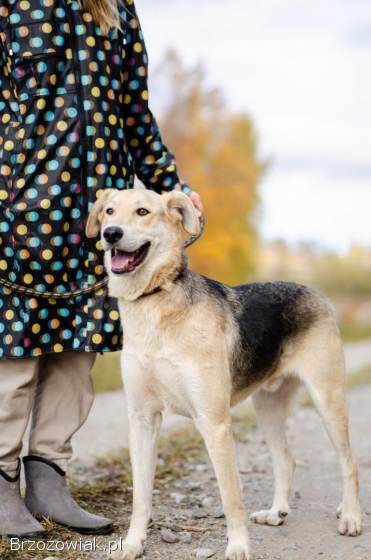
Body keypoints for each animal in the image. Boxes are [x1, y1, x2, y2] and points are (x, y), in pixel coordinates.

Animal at [85, 189, 362, 560]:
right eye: (109, 211)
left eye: (142, 212)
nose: (110, 234)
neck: (155, 303)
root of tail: (314, 290)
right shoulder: (142, 419)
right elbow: (141, 496)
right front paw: (132, 543)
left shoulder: (214, 423)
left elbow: (232, 498)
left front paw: (239, 546)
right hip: (267, 407)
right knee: (286, 460)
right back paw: (277, 512)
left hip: (327, 399)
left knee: (349, 463)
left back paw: (351, 517)